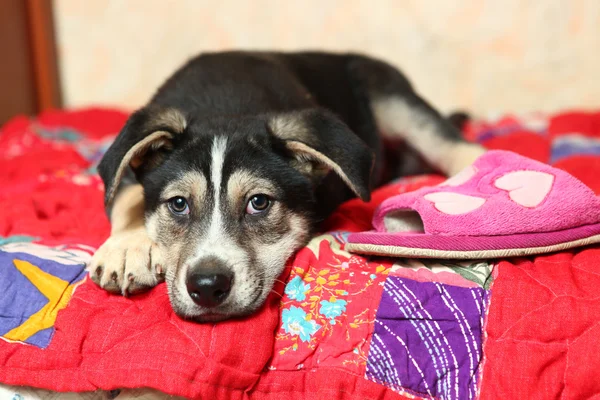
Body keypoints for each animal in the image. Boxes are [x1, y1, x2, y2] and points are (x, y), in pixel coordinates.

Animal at [89, 52, 482, 322]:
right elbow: (126, 195)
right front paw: (127, 249)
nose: (207, 287)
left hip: (392, 95)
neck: (227, 105)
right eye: (178, 204)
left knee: (453, 144)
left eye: (259, 202)